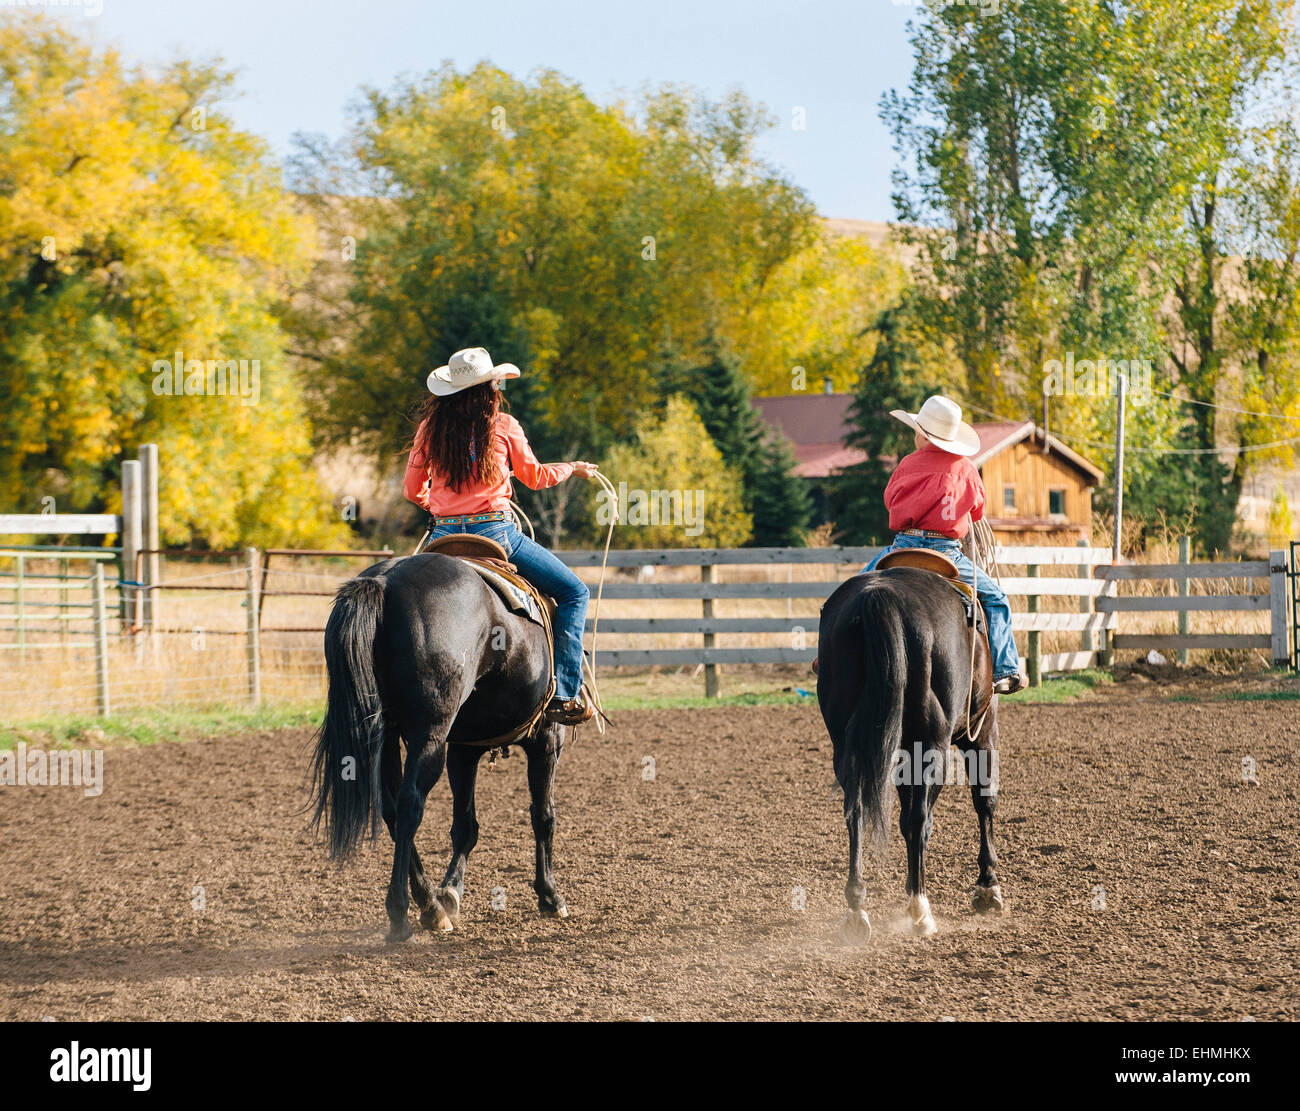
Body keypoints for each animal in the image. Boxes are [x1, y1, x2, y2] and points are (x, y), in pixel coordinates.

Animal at [308, 552, 568, 943]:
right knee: (410, 804)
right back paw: (403, 915)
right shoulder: (546, 739)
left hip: (388, 736)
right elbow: (543, 815)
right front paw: (550, 896)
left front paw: (450, 892)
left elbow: (465, 825)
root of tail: (385, 581)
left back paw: (430, 905)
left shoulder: (464, 748)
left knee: (391, 809)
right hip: (430, 734)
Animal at [816, 563, 1004, 942]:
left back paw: (857, 909)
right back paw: (920, 909)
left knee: (856, 812)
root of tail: (880, 598)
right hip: (934, 743)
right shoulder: (982, 729)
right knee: (920, 818)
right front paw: (987, 887)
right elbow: (984, 799)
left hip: (848, 746)